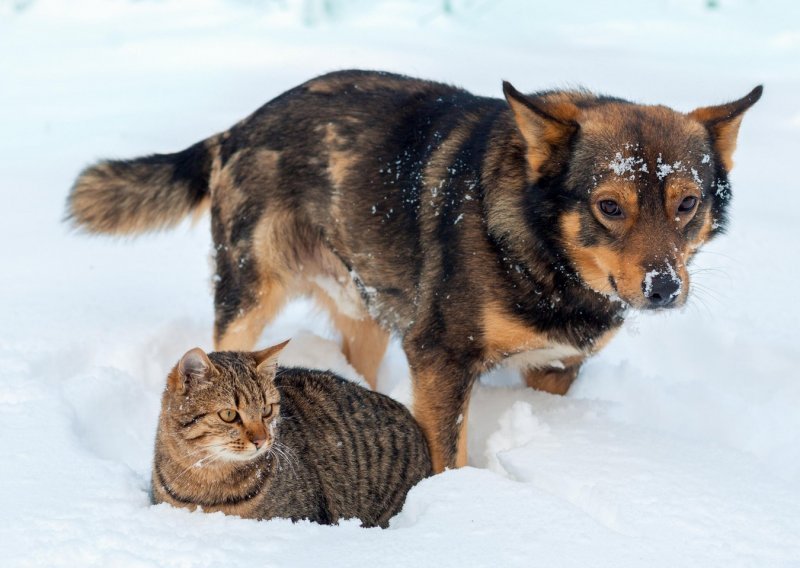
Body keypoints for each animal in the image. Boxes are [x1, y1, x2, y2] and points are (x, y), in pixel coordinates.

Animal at [65, 70, 760, 470]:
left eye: (688, 204)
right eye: (609, 206)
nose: (664, 288)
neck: (541, 257)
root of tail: (237, 129)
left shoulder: (555, 370)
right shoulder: (440, 357)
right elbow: (447, 454)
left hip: (367, 308)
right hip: (248, 297)